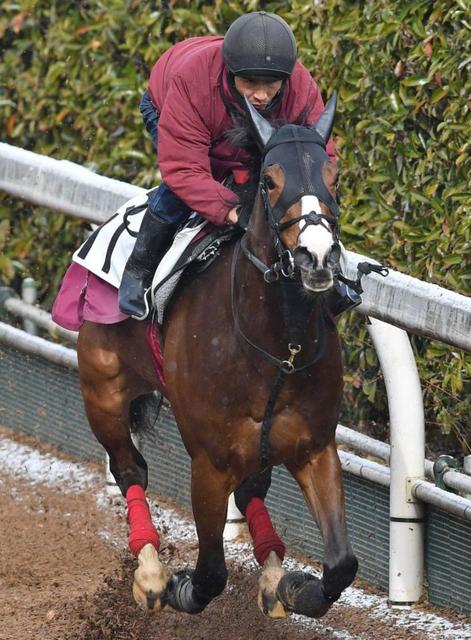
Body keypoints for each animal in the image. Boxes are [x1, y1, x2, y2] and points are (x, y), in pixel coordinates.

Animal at [76, 93, 358, 619]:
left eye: (333, 178)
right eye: (269, 180)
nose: (317, 257)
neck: (279, 347)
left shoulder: (314, 447)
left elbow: (342, 564)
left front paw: (294, 586)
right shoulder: (208, 463)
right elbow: (210, 573)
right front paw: (177, 585)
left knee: (250, 491)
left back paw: (271, 572)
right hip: (102, 391)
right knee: (129, 468)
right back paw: (150, 574)